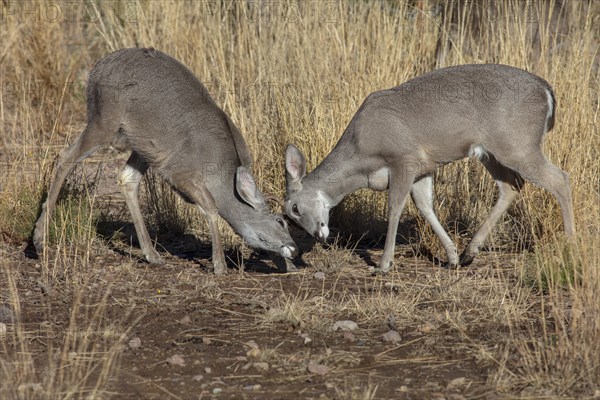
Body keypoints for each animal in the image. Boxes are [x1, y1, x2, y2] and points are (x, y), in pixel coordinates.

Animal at [33, 46, 298, 272]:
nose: (294, 248)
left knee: (126, 179)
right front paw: (220, 265)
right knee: (65, 156)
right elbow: (211, 208)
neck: (222, 171)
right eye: (280, 221)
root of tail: (96, 69)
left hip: (142, 147)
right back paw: (38, 239)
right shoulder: (179, 171)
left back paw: (152, 254)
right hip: (105, 119)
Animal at [286, 64, 576, 274]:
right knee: (511, 186)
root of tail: (546, 91)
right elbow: (426, 207)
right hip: (492, 152)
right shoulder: (423, 170)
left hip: (517, 145)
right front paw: (451, 257)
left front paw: (383, 265)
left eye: (294, 208)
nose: (318, 235)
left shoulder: (404, 159)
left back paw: (570, 245)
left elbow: (395, 209)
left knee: (560, 179)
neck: (361, 154)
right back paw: (469, 253)